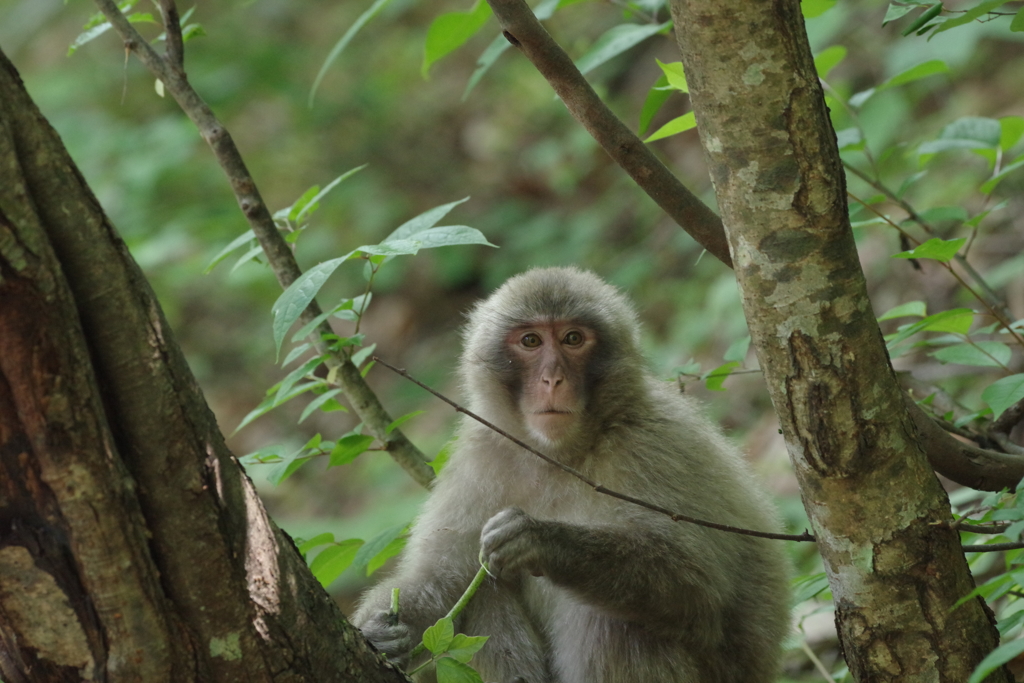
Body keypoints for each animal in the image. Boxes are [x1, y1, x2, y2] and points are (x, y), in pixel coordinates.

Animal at [354, 266, 790, 683]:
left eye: (573, 339)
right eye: (531, 341)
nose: (552, 379)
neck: (558, 455)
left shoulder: (653, 444)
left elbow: (699, 589)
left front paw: (540, 539)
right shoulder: (480, 455)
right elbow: (440, 579)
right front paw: (381, 633)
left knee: (616, 620)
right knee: (485, 589)